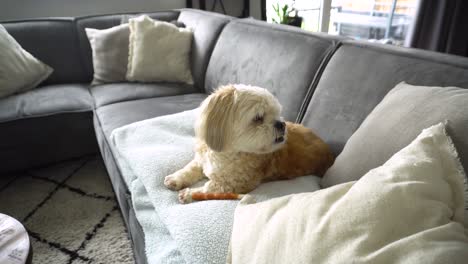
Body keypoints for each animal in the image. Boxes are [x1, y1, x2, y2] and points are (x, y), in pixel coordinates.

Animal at [163, 83, 334, 203]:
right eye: (258, 118)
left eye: (278, 114)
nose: (281, 124)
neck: (226, 153)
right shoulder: (202, 159)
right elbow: (191, 168)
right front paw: (176, 179)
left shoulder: (237, 182)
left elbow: (212, 187)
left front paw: (190, 193)